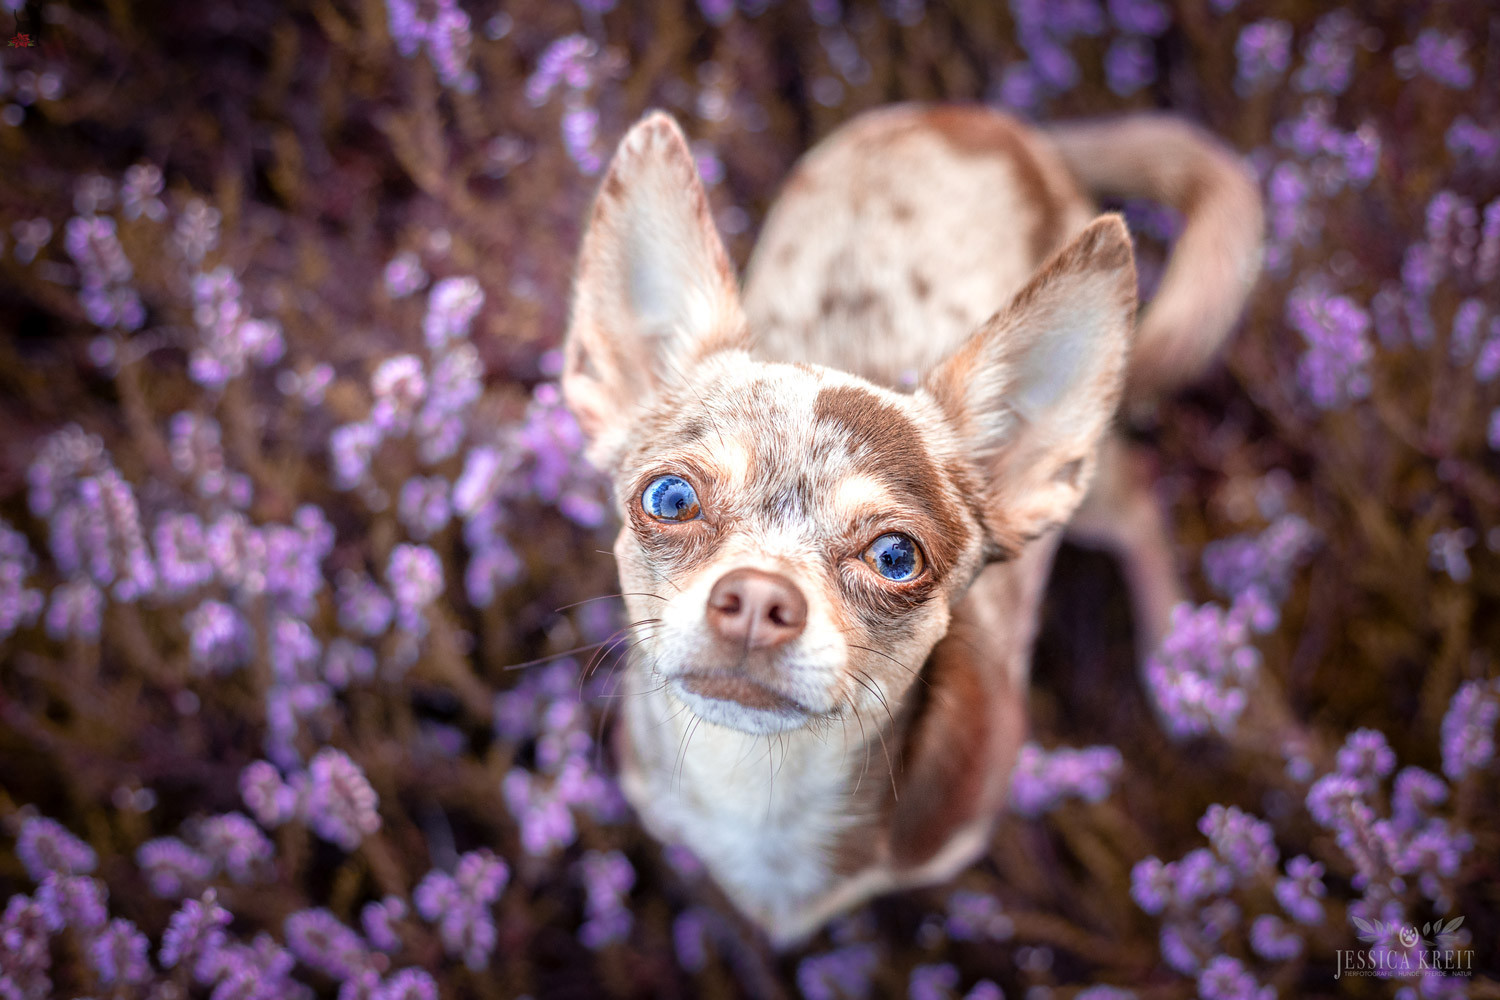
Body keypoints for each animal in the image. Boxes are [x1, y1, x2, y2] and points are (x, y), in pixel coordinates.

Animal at [561, 103, 1263, 947]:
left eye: (896, 556)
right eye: (670, 500)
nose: (758, 599)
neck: (764, 800)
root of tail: (987, 120)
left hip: (1091, 498)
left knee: (1139, 506)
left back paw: (1178, 656)